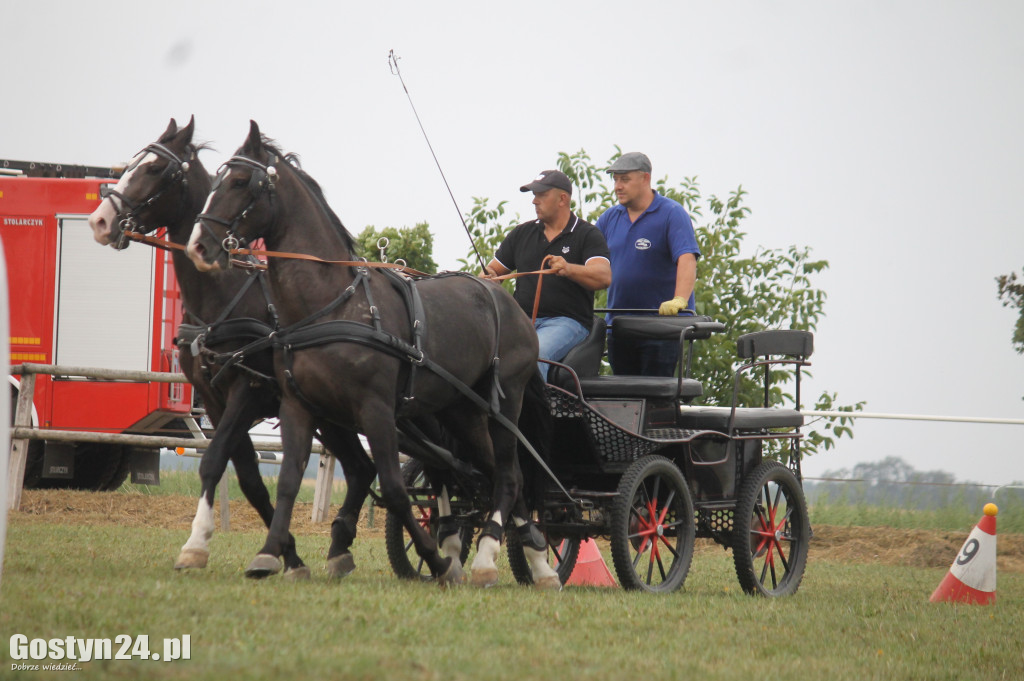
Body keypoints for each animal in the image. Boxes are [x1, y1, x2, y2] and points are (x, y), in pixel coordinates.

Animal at [88, 118, 376, 577]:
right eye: (131, 164)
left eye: (154, 169)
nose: (99, 221)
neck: (223, 296)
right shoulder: (214, 398)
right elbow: (250, 481)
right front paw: (289, 556)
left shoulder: (249, 390)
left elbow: (214, 460)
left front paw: (196, 545)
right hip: (330, 413)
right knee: (362, 469)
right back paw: (339, 548)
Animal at [188, 120, 557, 585]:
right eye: (214, 182)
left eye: (239, 182)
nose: (198, 245)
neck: (330, 304)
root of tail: (511, 305)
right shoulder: (298, 405)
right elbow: (288, 479)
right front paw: (272, 554)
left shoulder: (376, 409)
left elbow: (395, 489)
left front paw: (437, 561)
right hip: (461, 411)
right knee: (498, 474)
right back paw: (539, 563)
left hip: (504, 404)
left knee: (508, 476)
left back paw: (490, 558)